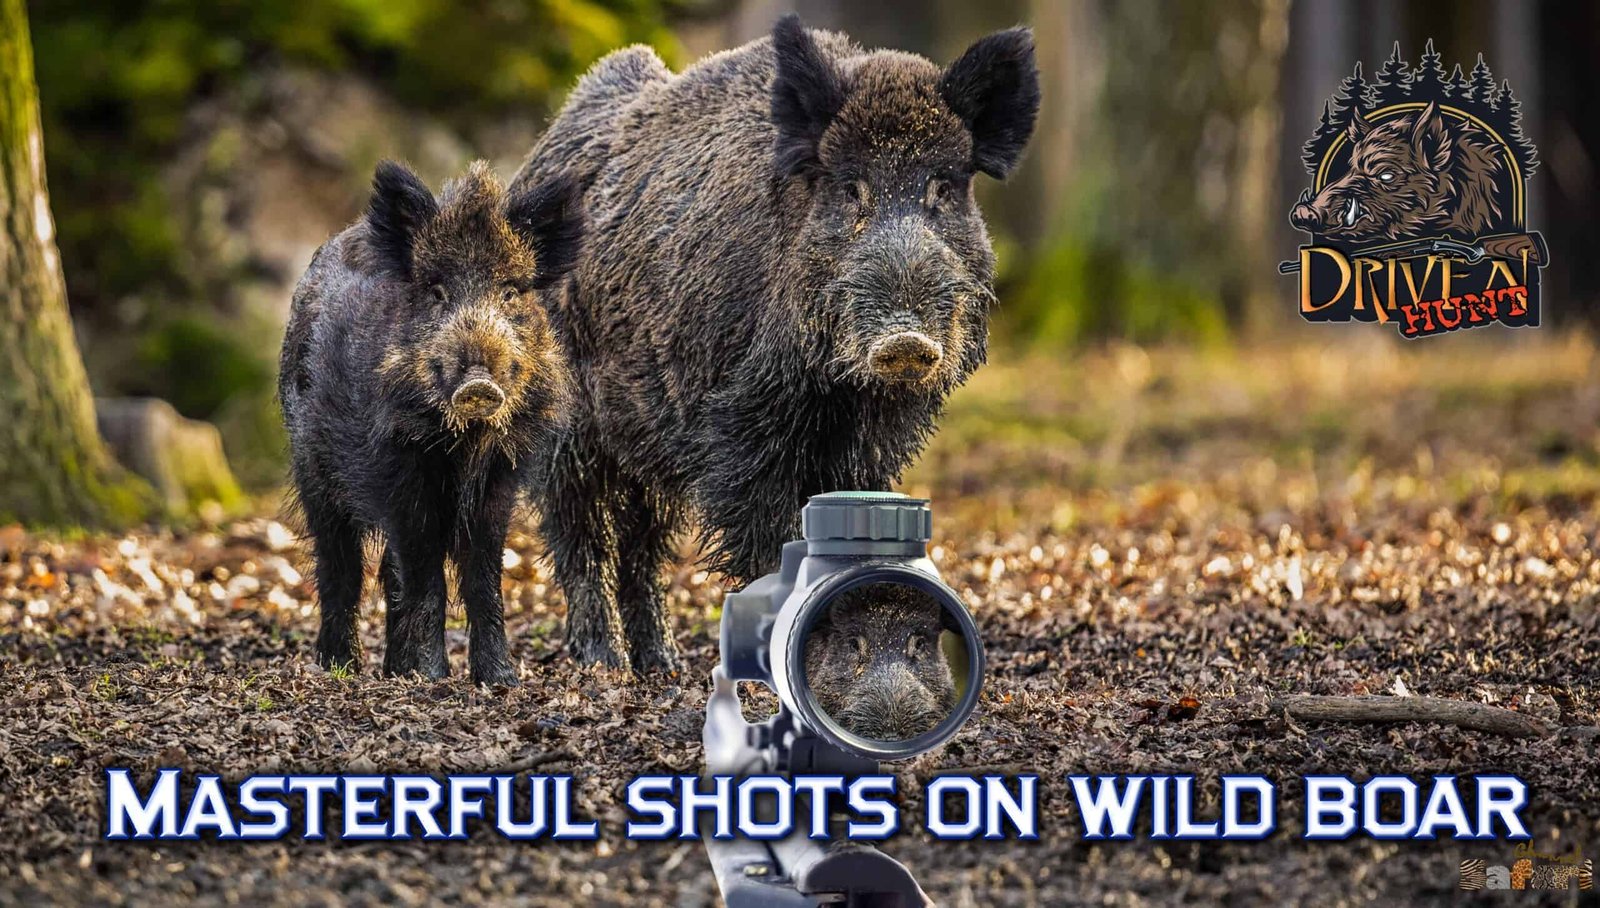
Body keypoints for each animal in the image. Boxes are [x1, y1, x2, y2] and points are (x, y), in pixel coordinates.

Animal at [279, 160, 583, 685]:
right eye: (438, 292)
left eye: (510, 292)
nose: (479, 381)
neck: (462, 443)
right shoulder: (396, 465)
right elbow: (423, 567)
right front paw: (432, 675)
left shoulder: (501, 475)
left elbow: (483, 571)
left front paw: (499, 679)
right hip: (312, 468)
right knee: (339, 565)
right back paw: (342, 668)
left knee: (385, 570)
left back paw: (392, 671)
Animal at [512, 14, 1039, 671]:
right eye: (850, 187)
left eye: (943, 187)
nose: (905, 340)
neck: (836, 391)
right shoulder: (742, 423)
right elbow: (764, 532)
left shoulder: (871, 443)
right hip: (567, 426)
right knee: (578, 531)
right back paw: (604, 663)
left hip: (646, 436)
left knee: (642, 542)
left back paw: (661, 663)